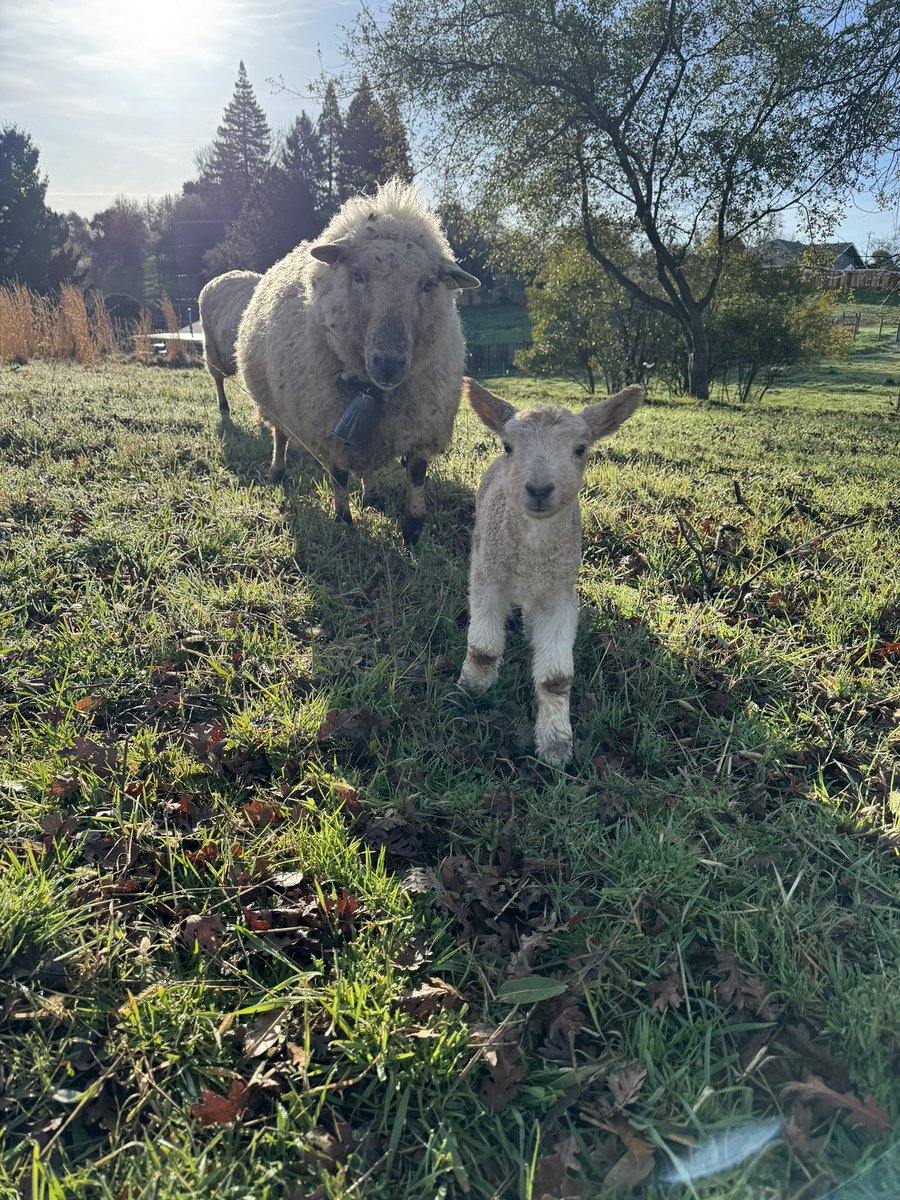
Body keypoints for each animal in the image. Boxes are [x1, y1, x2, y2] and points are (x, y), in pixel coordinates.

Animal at [236, 177, 482, 544]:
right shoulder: (326, 423)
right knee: (279, 435)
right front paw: (343, 521)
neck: (372, 389)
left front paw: (412, 530)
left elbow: (417, 474)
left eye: (428, 284)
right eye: (357, 275)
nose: (388, 362)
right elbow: (338, 475)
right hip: (273, 402)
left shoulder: (423, 423)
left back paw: (373, 494)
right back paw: (278, 470)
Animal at [460, 379, 643, 763]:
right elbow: (483, 649)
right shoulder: (487, 577)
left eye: (580, 449)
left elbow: (556, 678)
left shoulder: (560, 593)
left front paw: (556, 745)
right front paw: (471, 688)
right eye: (508, 446)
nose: (540, 489)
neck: (532, 556)